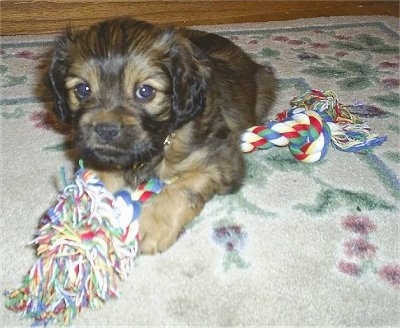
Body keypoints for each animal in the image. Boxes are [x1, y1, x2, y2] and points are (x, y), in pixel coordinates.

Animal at [48, 17, 276, 254]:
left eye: (145, 91)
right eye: (82, 89)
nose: (105, 130)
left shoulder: (222, 160)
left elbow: (184, 187)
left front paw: (154, 223)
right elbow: (95, 180)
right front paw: (85, 213)